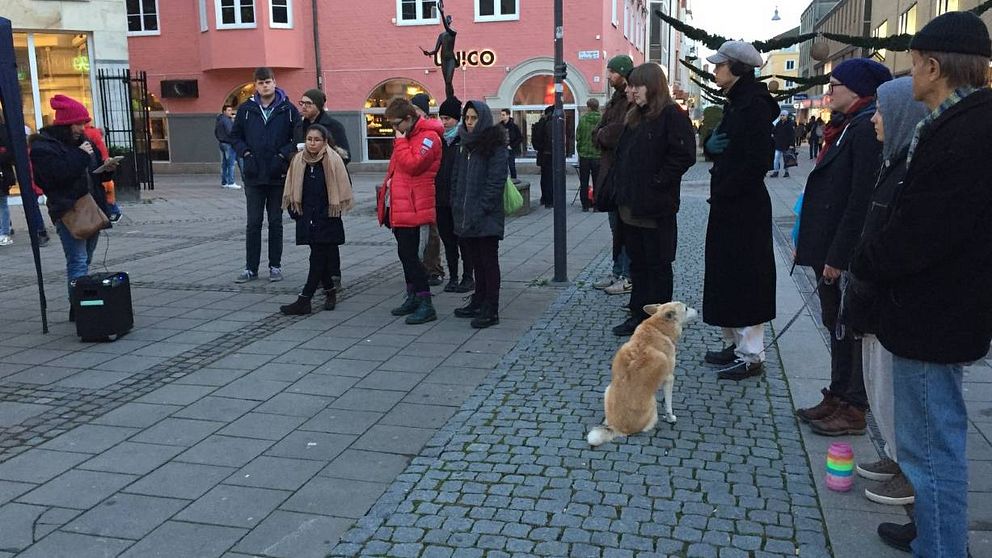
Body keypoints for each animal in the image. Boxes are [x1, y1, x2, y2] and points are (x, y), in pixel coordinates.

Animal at [588, 304, 696, 448]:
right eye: (686, 308)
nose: (698, 311)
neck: (657, 328)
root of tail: (617, 428)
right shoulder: (669, 378)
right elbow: (669, 404)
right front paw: (670, 417)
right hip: (653, 407)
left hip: (608, 389)